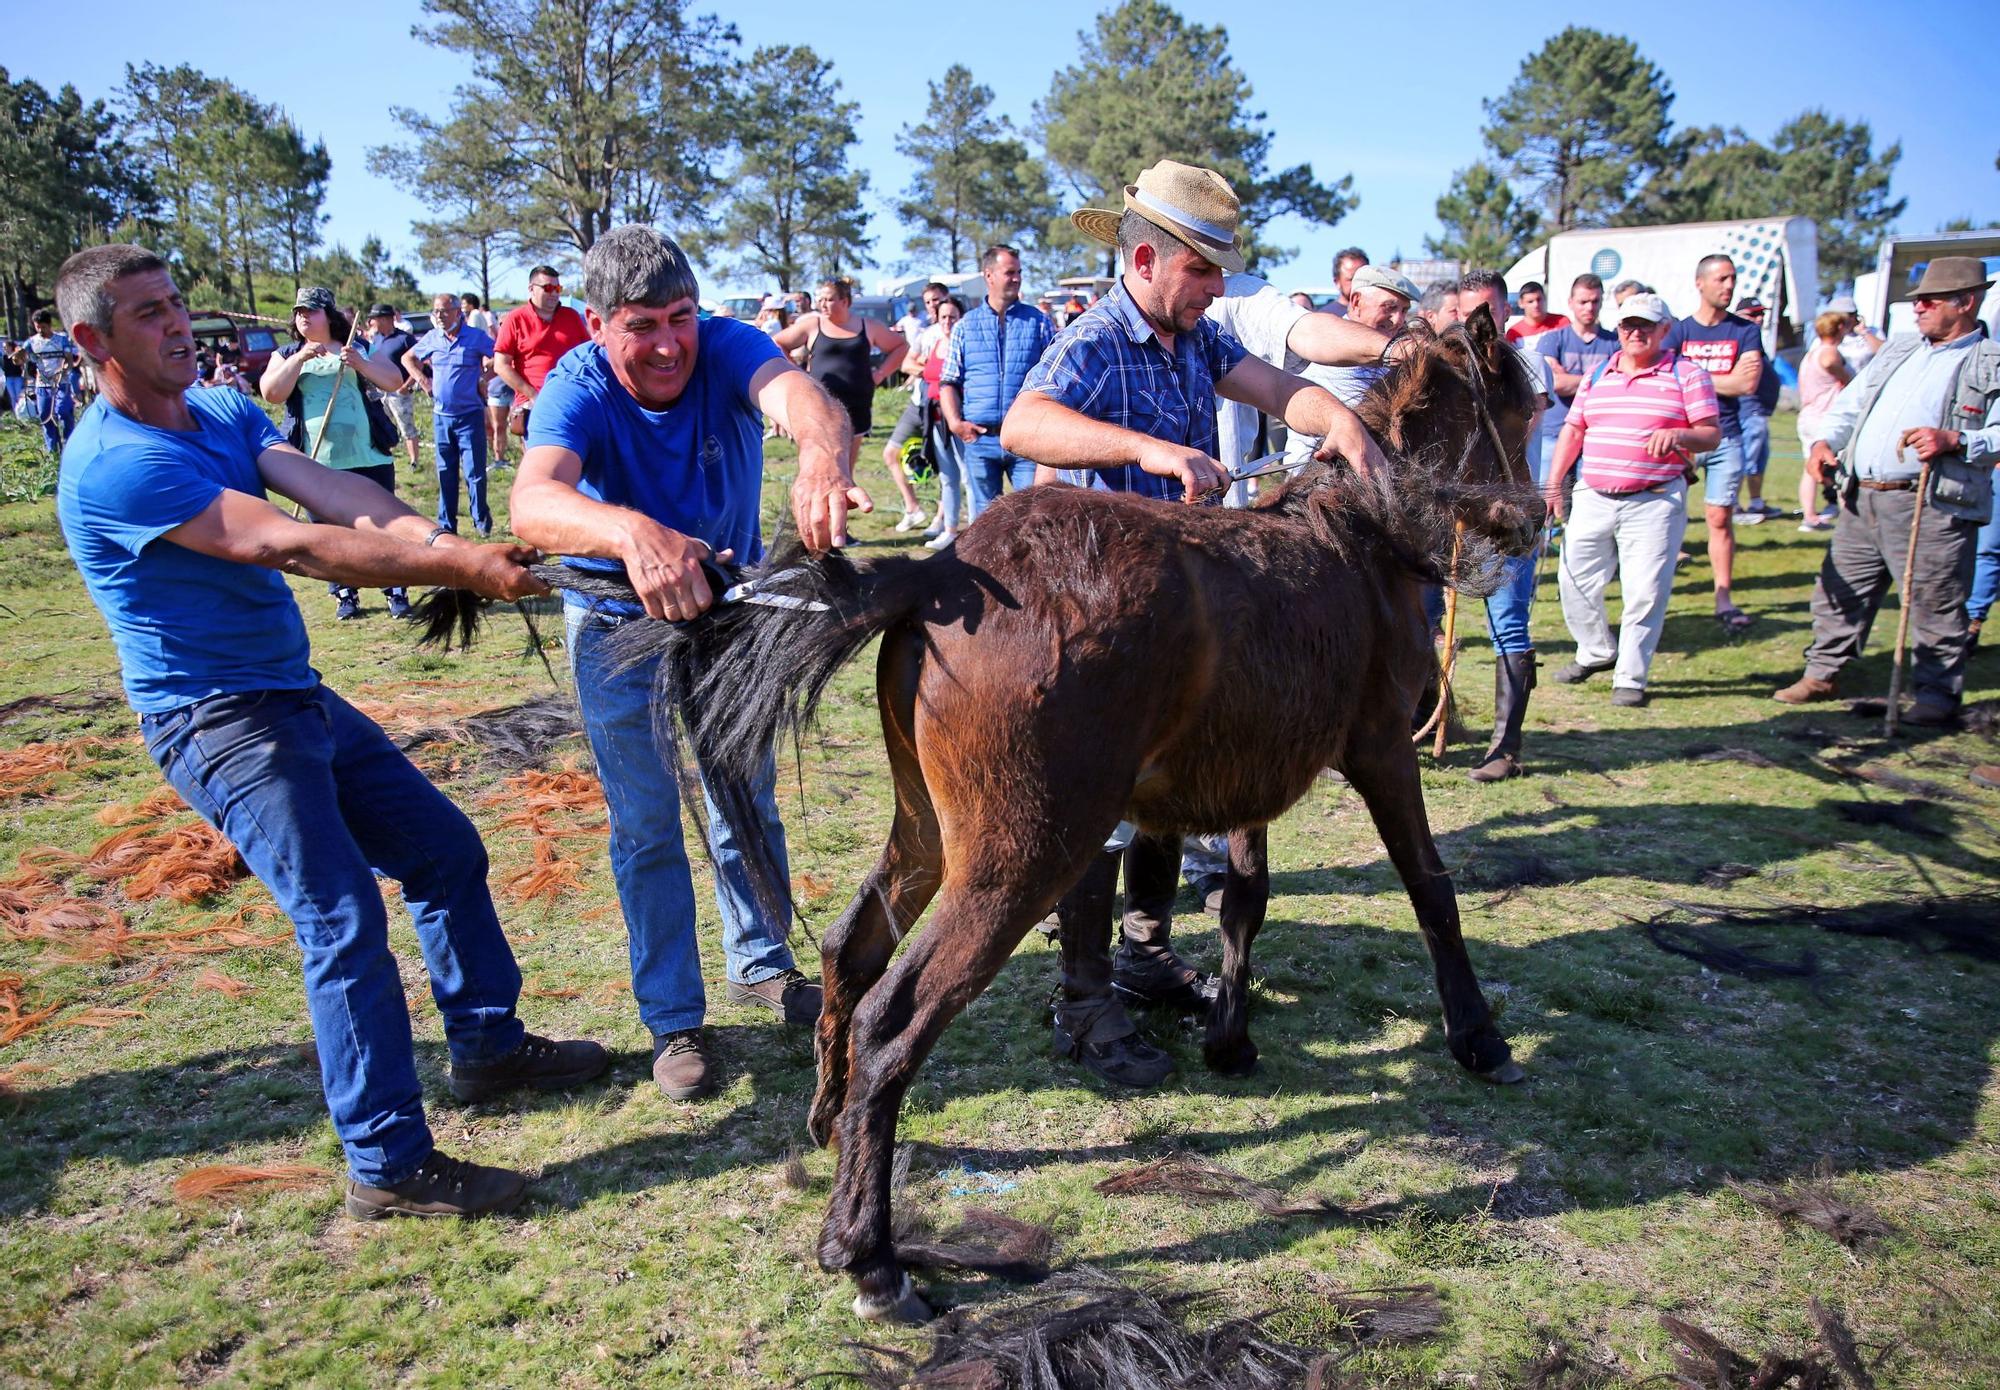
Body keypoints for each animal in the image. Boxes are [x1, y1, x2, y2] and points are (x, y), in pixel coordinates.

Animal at [608, 302, 1544, 1312]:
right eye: (1525, 410)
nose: (1538, 520)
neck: (1362, 541)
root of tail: (944, 574)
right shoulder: (1379, 752)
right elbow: (1431, 889)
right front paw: (1479, 1036)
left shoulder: (1252, 777)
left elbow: (1243, 902)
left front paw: (1229, 1037)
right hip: (1024, 856)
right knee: (893, 1019)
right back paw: (868, 1254)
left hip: (930, 835)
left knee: (851, 951)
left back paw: (828, 1122)